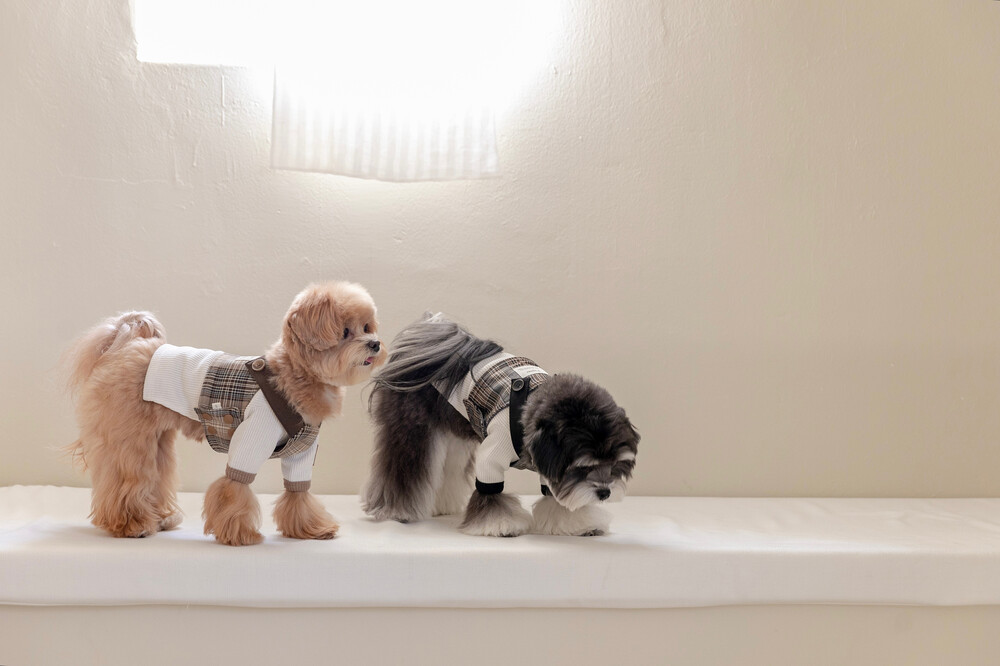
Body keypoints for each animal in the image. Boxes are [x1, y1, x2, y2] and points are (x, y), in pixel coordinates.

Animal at [65, 281, 387, 546]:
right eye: (345, 332)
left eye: (367, 326)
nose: (375, 343)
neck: (289, 377)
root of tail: (126, 346)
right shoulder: (252, 438)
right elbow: (235, 486)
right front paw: (239, 533)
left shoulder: (303, 452)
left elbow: (299, 491)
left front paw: (311, 529)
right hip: (130, 437)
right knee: (126, 478)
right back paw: (132, 524)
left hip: (158, 439)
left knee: (156, 476)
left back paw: (159, 518)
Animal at [362, 313, 639, 537]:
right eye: (582, 468)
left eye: (616, 465)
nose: (605, 493)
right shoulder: (494, 453)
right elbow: (490, 492)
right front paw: (499, 524)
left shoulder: (548, 464)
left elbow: (555, 495)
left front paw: (577, 522)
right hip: (411, 429)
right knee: (403, 468)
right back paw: (396, 510)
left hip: (455, 435)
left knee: (449, 469)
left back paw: (443, 506)